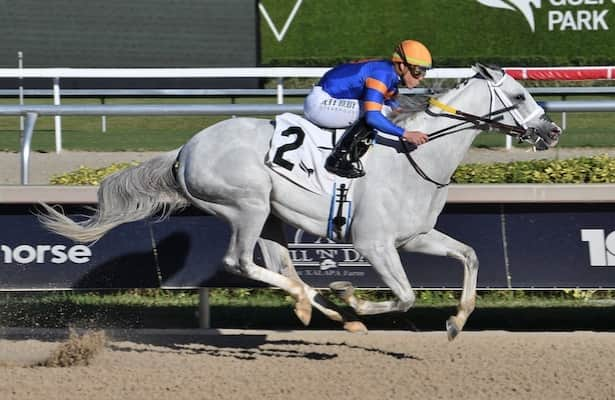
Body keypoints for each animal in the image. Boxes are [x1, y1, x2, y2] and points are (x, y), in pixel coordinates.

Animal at [38, 64, 564, 340]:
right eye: (520, 95)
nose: (553, 130)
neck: (415, 155)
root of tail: (186, 149)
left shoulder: (414, 236)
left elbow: (470, 256)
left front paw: (456, 321)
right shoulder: (374, 244)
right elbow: (405, 295)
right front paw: (351, 295)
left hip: (271, 215)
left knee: (279, 265)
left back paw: (318, 309)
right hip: (245, 205)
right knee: (240, 261)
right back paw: (327, 304)